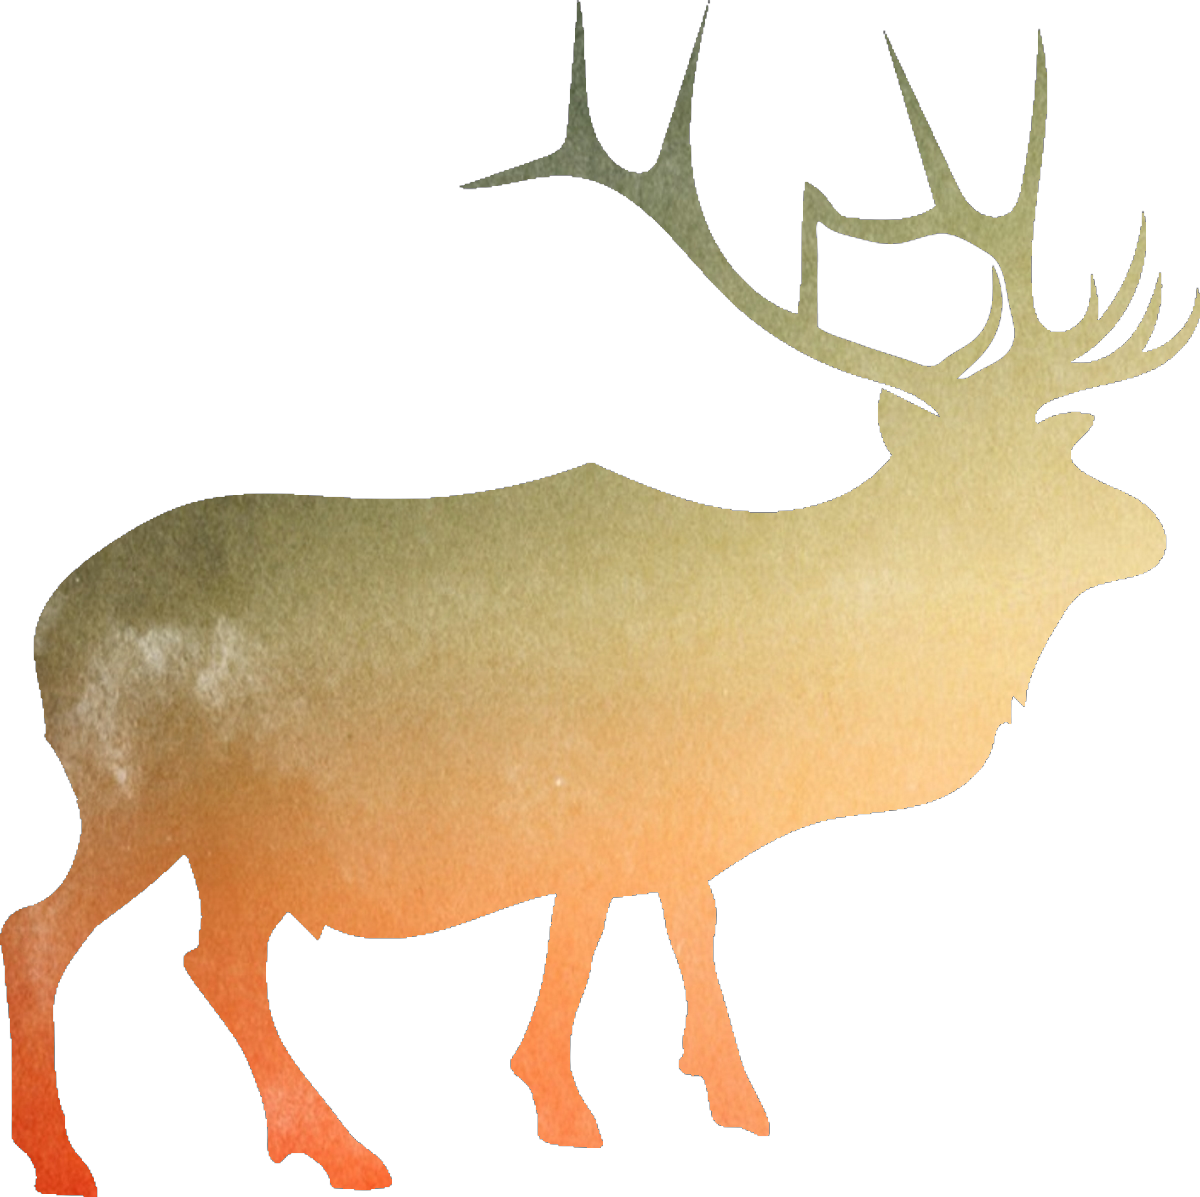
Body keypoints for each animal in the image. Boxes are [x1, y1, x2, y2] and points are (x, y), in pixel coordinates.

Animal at [9, 7, 1196, 1194]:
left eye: (1062, 442)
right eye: (1016, 469)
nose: (1151, 530)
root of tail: (50, 629)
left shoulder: (665, 820)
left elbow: (670, 923)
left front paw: (707, 1090)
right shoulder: (600, 800)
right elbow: (598, 936)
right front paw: (584, 1104)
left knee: (204, 954)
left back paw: (298, 1137)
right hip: (152, 801)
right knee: (74, 935)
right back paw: (143, 1154)